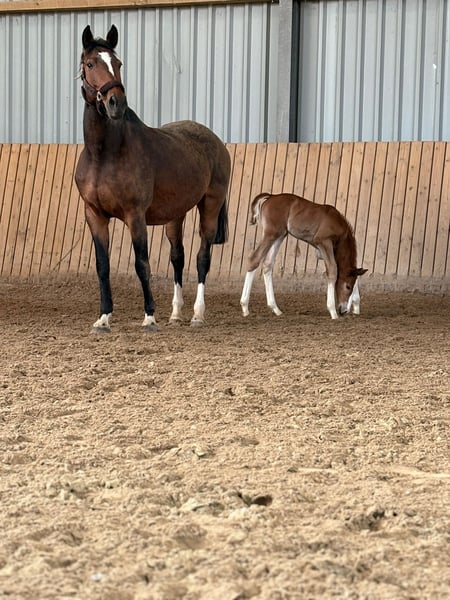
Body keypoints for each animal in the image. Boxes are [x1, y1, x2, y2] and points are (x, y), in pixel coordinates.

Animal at [75, 25, 230, 332]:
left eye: (118, 63)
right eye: (91, 64)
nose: (116, 103)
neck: (104, 155)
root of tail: (215, 141)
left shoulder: (135, 215)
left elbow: (142, 264)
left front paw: (149, 317)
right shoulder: (94, 214)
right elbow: (102, 266)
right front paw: (103, 317)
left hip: (210, 205)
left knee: (202, 258)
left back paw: (197, 315)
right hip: (176, 214)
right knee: (178, 257)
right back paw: (176, 313)